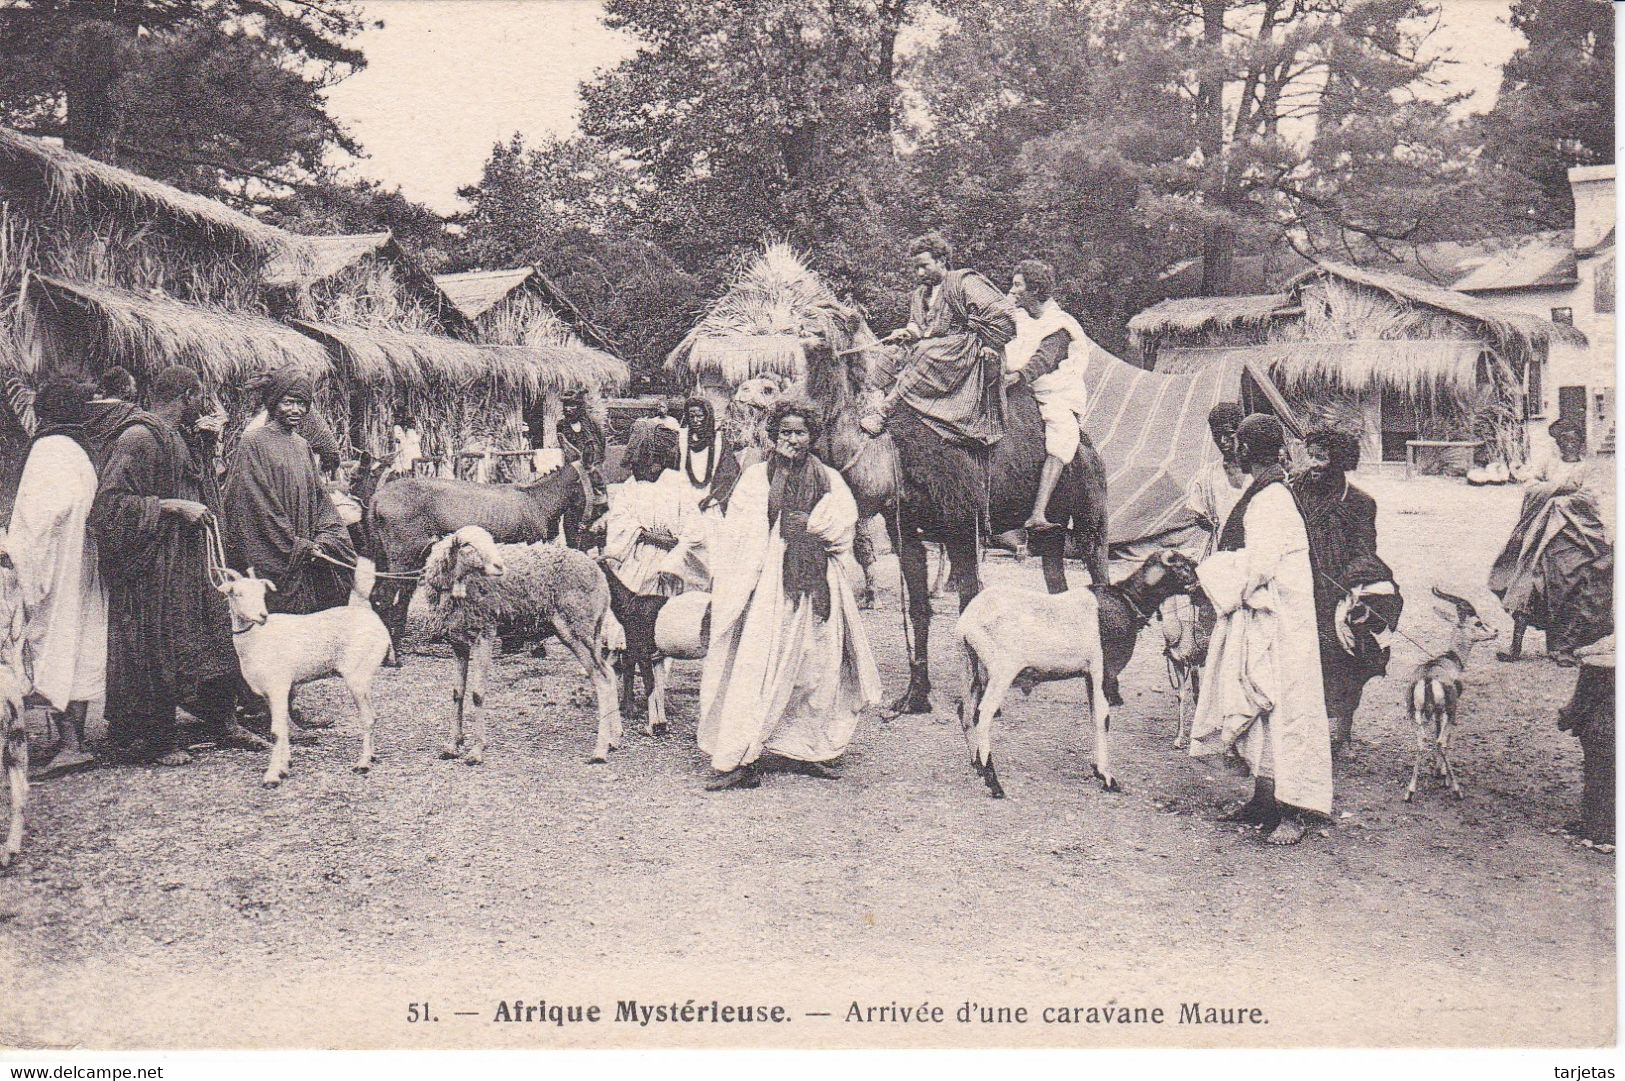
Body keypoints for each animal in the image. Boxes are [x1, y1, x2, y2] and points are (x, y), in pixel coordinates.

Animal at [217, 555, 391, 783]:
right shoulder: (269, 692)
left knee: (368, 717)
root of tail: (381, 629)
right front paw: (284, 766)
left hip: (356, 676)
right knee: (373, 715)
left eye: (262, 593)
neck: (257, 639)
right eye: (238, 593)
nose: (263, 616)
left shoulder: (278, 686)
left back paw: (362, 764)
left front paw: (272, 775)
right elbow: (282, 726)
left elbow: (277, 730)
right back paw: (371, 756)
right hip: (363, 677)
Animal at [422, 520, 624, 757]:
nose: (499, 566)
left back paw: (600, 749)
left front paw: (477, 750)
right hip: (591, 630)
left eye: (490, 540)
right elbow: (457, 693)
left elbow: (477, 694)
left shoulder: (485, 632)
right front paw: (454, 744)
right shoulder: (458, 643)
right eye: (467, 545)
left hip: (576, 627)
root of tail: (596, 568)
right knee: (608, 672)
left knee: (602, 678)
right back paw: (614, 738)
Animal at [796, 303, 1111, 711]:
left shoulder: (964, 528)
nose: (804, 319)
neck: (892, 452)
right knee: (1056, 578)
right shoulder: (905, 532)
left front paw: (980, 695)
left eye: (834, 315)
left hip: (1091, 511)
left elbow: (969, 603)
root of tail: (1088, 443)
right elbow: (919, 608)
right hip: (1052, 531)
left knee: (1099, 570)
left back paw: (1109, 688)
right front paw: (915, 696)